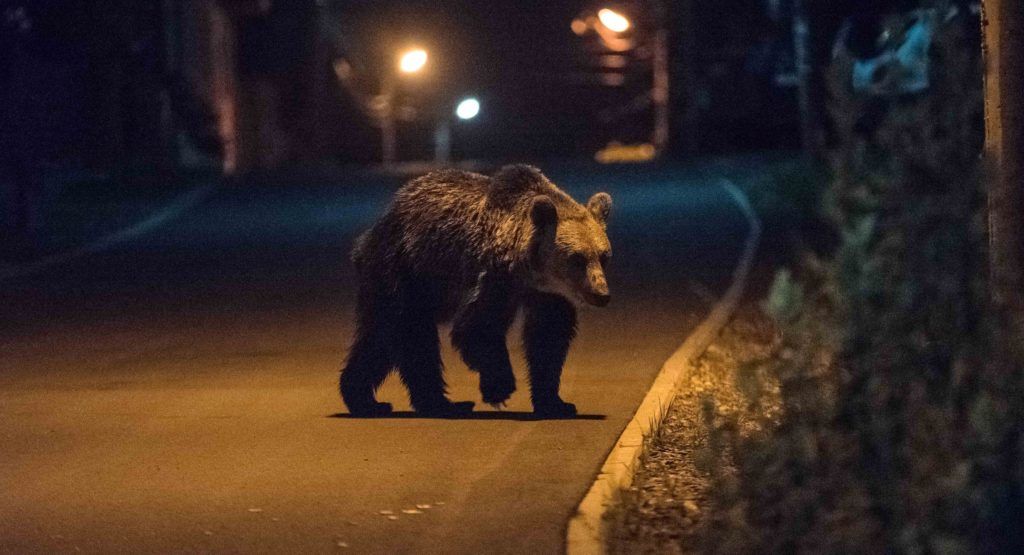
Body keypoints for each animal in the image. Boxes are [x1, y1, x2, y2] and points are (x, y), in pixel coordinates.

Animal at [344, 163, 610, 417]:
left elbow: (549, 335)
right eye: (577, 258)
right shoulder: (495, 276)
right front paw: (500, 388)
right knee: (413, 334)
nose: (601, 294)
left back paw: (363, 399)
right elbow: (477, 326)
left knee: (379, 338)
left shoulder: (548, 294)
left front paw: (556, 403)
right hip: (403, 269)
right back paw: (441, 403)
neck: (530, 270)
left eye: (604, 256)